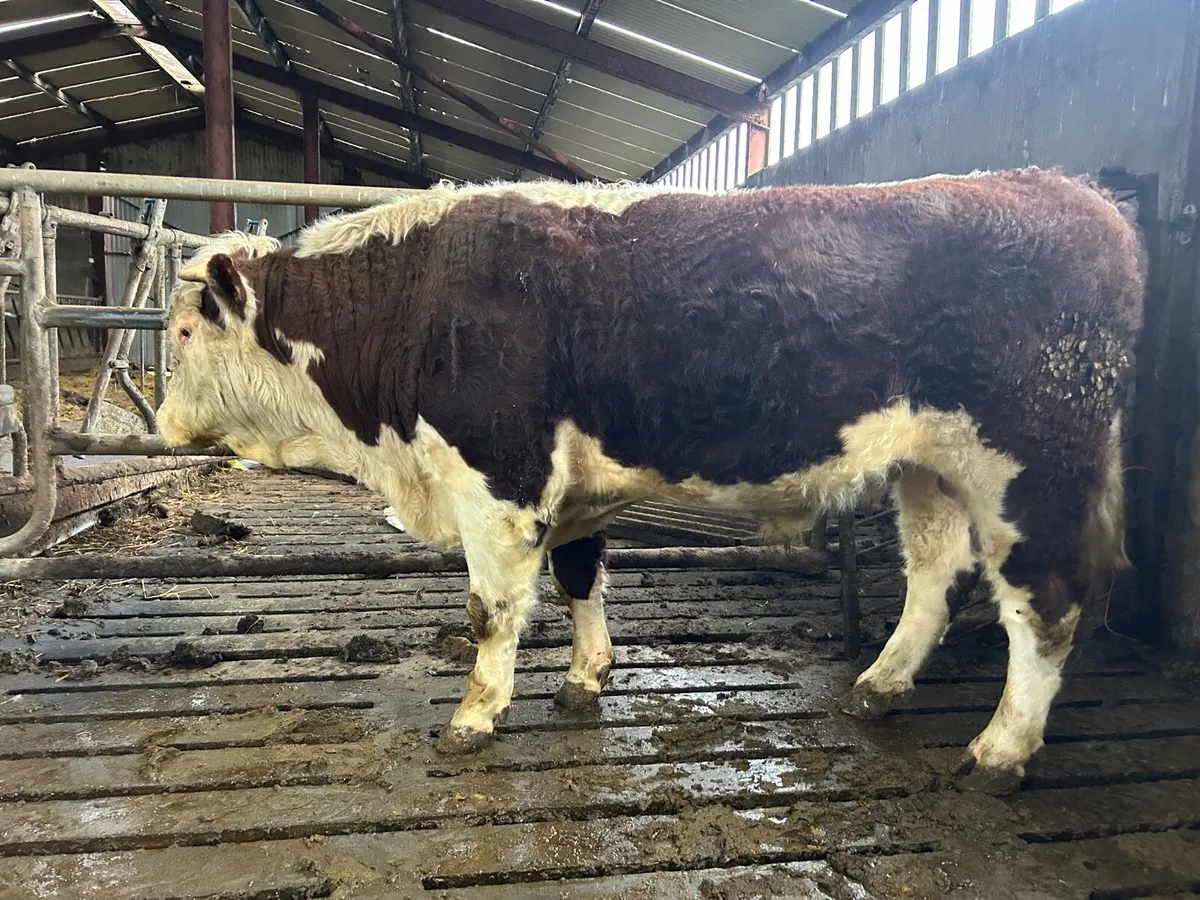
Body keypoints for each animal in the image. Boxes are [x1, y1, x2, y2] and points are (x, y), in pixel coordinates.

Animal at [157, 168, 1145, 794]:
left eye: (182, 332)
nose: (163, 424)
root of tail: (1073, 192)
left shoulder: (498, 472)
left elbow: (492, 610)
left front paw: (476, 714)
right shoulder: (572, 487)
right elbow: (579, 576)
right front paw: (586, 678)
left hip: (1031, 464)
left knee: (1046, 601)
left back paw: (1000, 751)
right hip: (928, 466)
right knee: (936, 574)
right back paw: (879, 686)